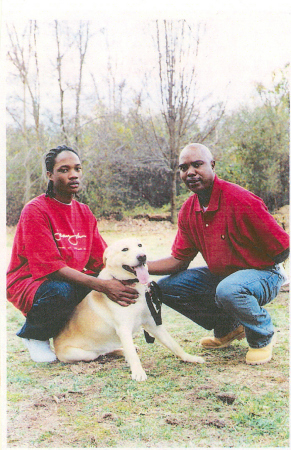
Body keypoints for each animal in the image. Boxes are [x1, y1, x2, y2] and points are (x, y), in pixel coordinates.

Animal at [54, 237, 205, 382]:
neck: (132, 284)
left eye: (140, 245)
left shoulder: (153, 323)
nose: (142, 256)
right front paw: (138, 373)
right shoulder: (124, 329)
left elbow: (173, 344)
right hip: (84, 354)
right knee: (101, 353)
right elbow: (133, 355)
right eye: (125, 249)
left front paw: (189, 357)